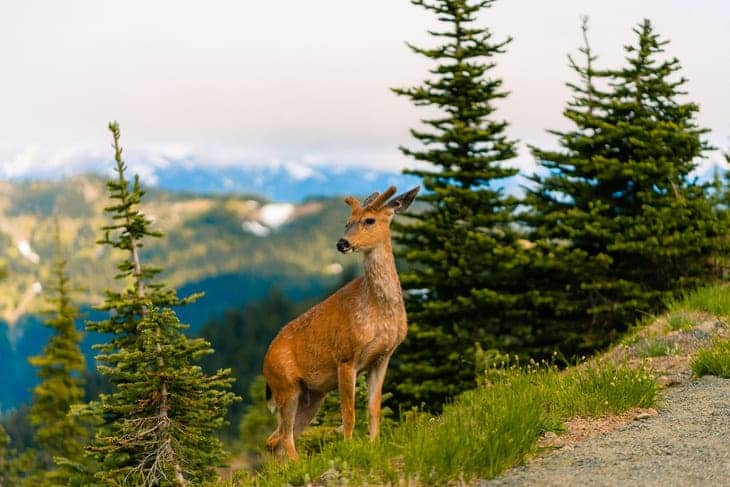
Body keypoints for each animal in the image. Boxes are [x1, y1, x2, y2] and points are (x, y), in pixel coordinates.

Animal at [264, 185, 418, 460]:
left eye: (369, 220)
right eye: (347, 222)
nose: (342, 243)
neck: (378, 311)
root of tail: (264, 364)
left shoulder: (382, 358)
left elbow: (373, 409)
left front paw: (374, 445)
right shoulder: (346, 357)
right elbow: (349, 413)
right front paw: (349, 448)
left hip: (312, 394)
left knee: (275, 439)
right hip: (286, 386)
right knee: (284, 436)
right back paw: (298, 463)